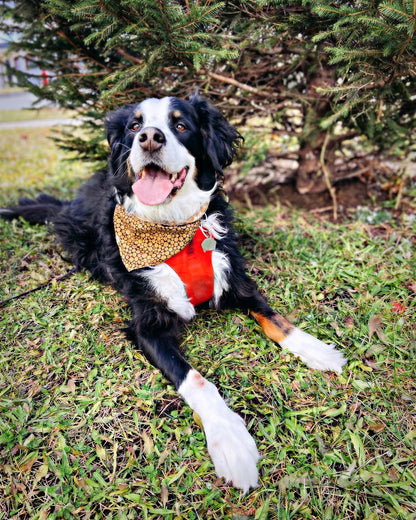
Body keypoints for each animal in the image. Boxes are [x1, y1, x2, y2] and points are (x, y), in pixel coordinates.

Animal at [1, 96, 346, 492]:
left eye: (180, 125)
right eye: (135, 126)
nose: (150, 138)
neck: (173, 230)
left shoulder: (235, 280)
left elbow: (275, 319)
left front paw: (316, 350)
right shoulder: (148, 325)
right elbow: (194, 379)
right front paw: (230, 440)